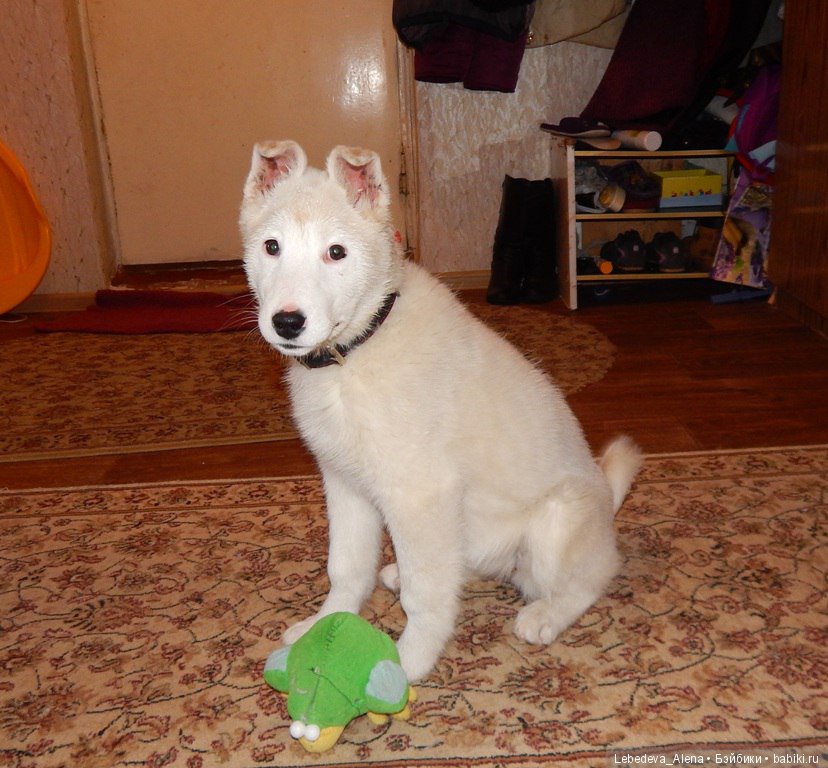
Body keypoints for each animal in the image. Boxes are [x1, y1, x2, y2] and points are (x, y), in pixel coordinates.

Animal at [240, 140, 642, 682]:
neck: (357, 350)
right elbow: (347, 567)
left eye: (336, 253)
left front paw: (407, 662)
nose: (287, 322)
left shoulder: (420, 494)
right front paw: (325, 624)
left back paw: (544, 616)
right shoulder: (344, 483)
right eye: (272, 247)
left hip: (555, 526)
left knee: (590, 578)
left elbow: (424, 594)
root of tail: (606, 502)